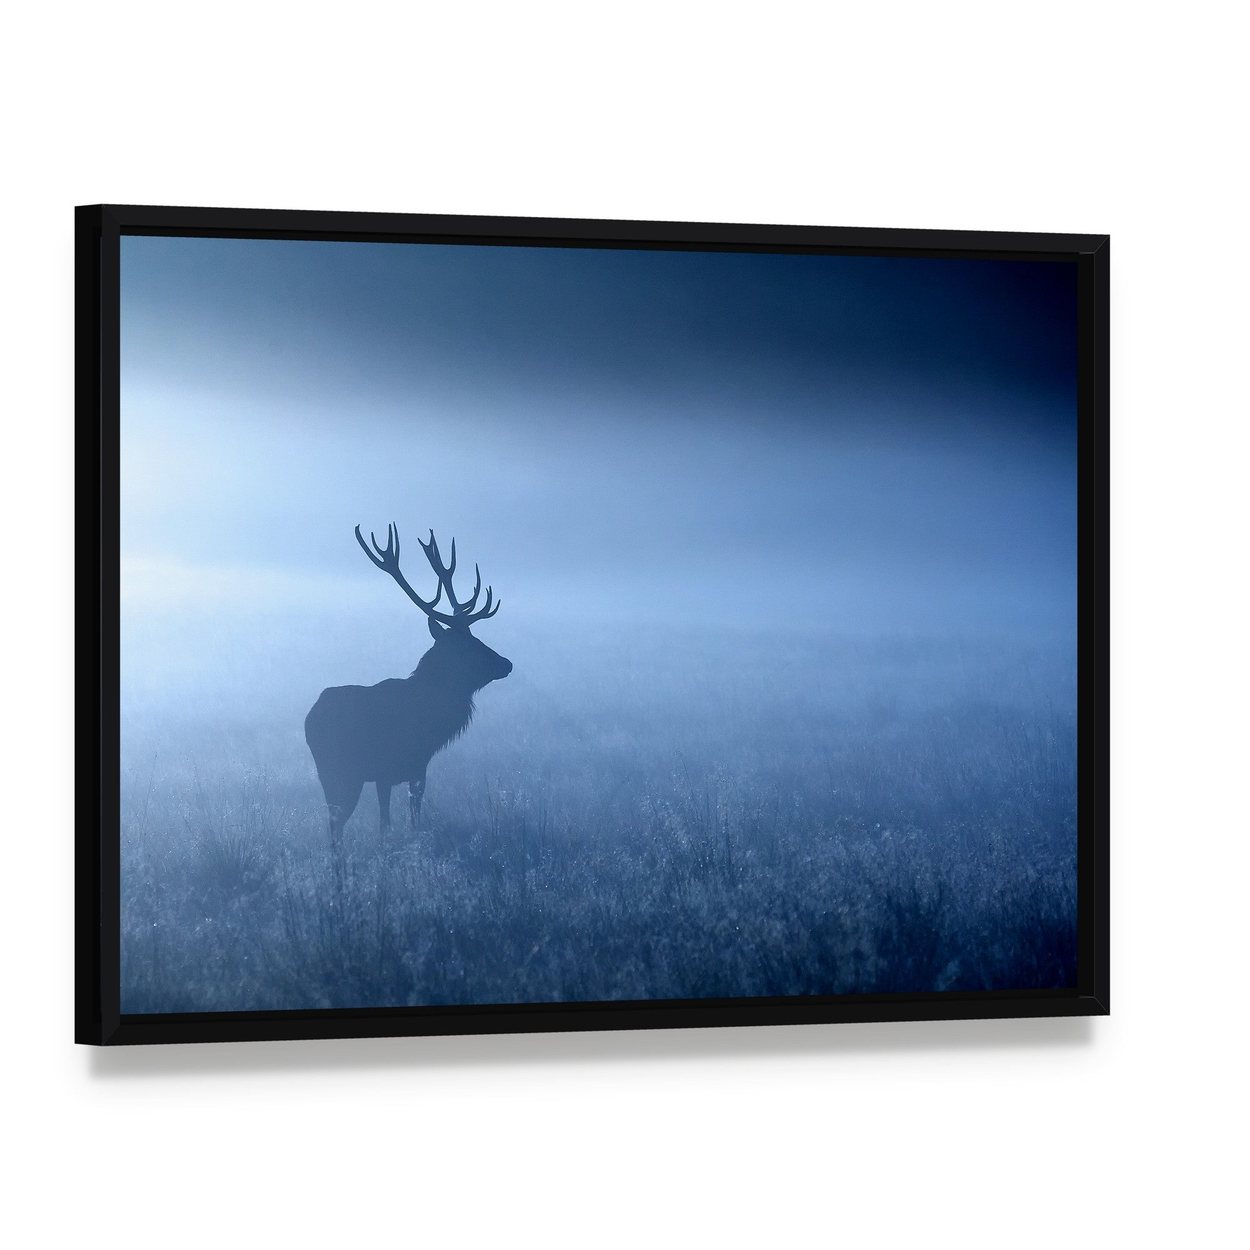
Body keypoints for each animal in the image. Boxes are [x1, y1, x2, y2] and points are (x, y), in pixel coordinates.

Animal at [305, 522, 512, 846]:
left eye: (476, 637)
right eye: (467, 645)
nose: (506, 663)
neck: (430, 722)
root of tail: (310, 717)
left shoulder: (416, 768)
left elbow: (412, 817)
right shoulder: (388, 769)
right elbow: (387, 823)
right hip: (340, 770)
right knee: (336, 825)